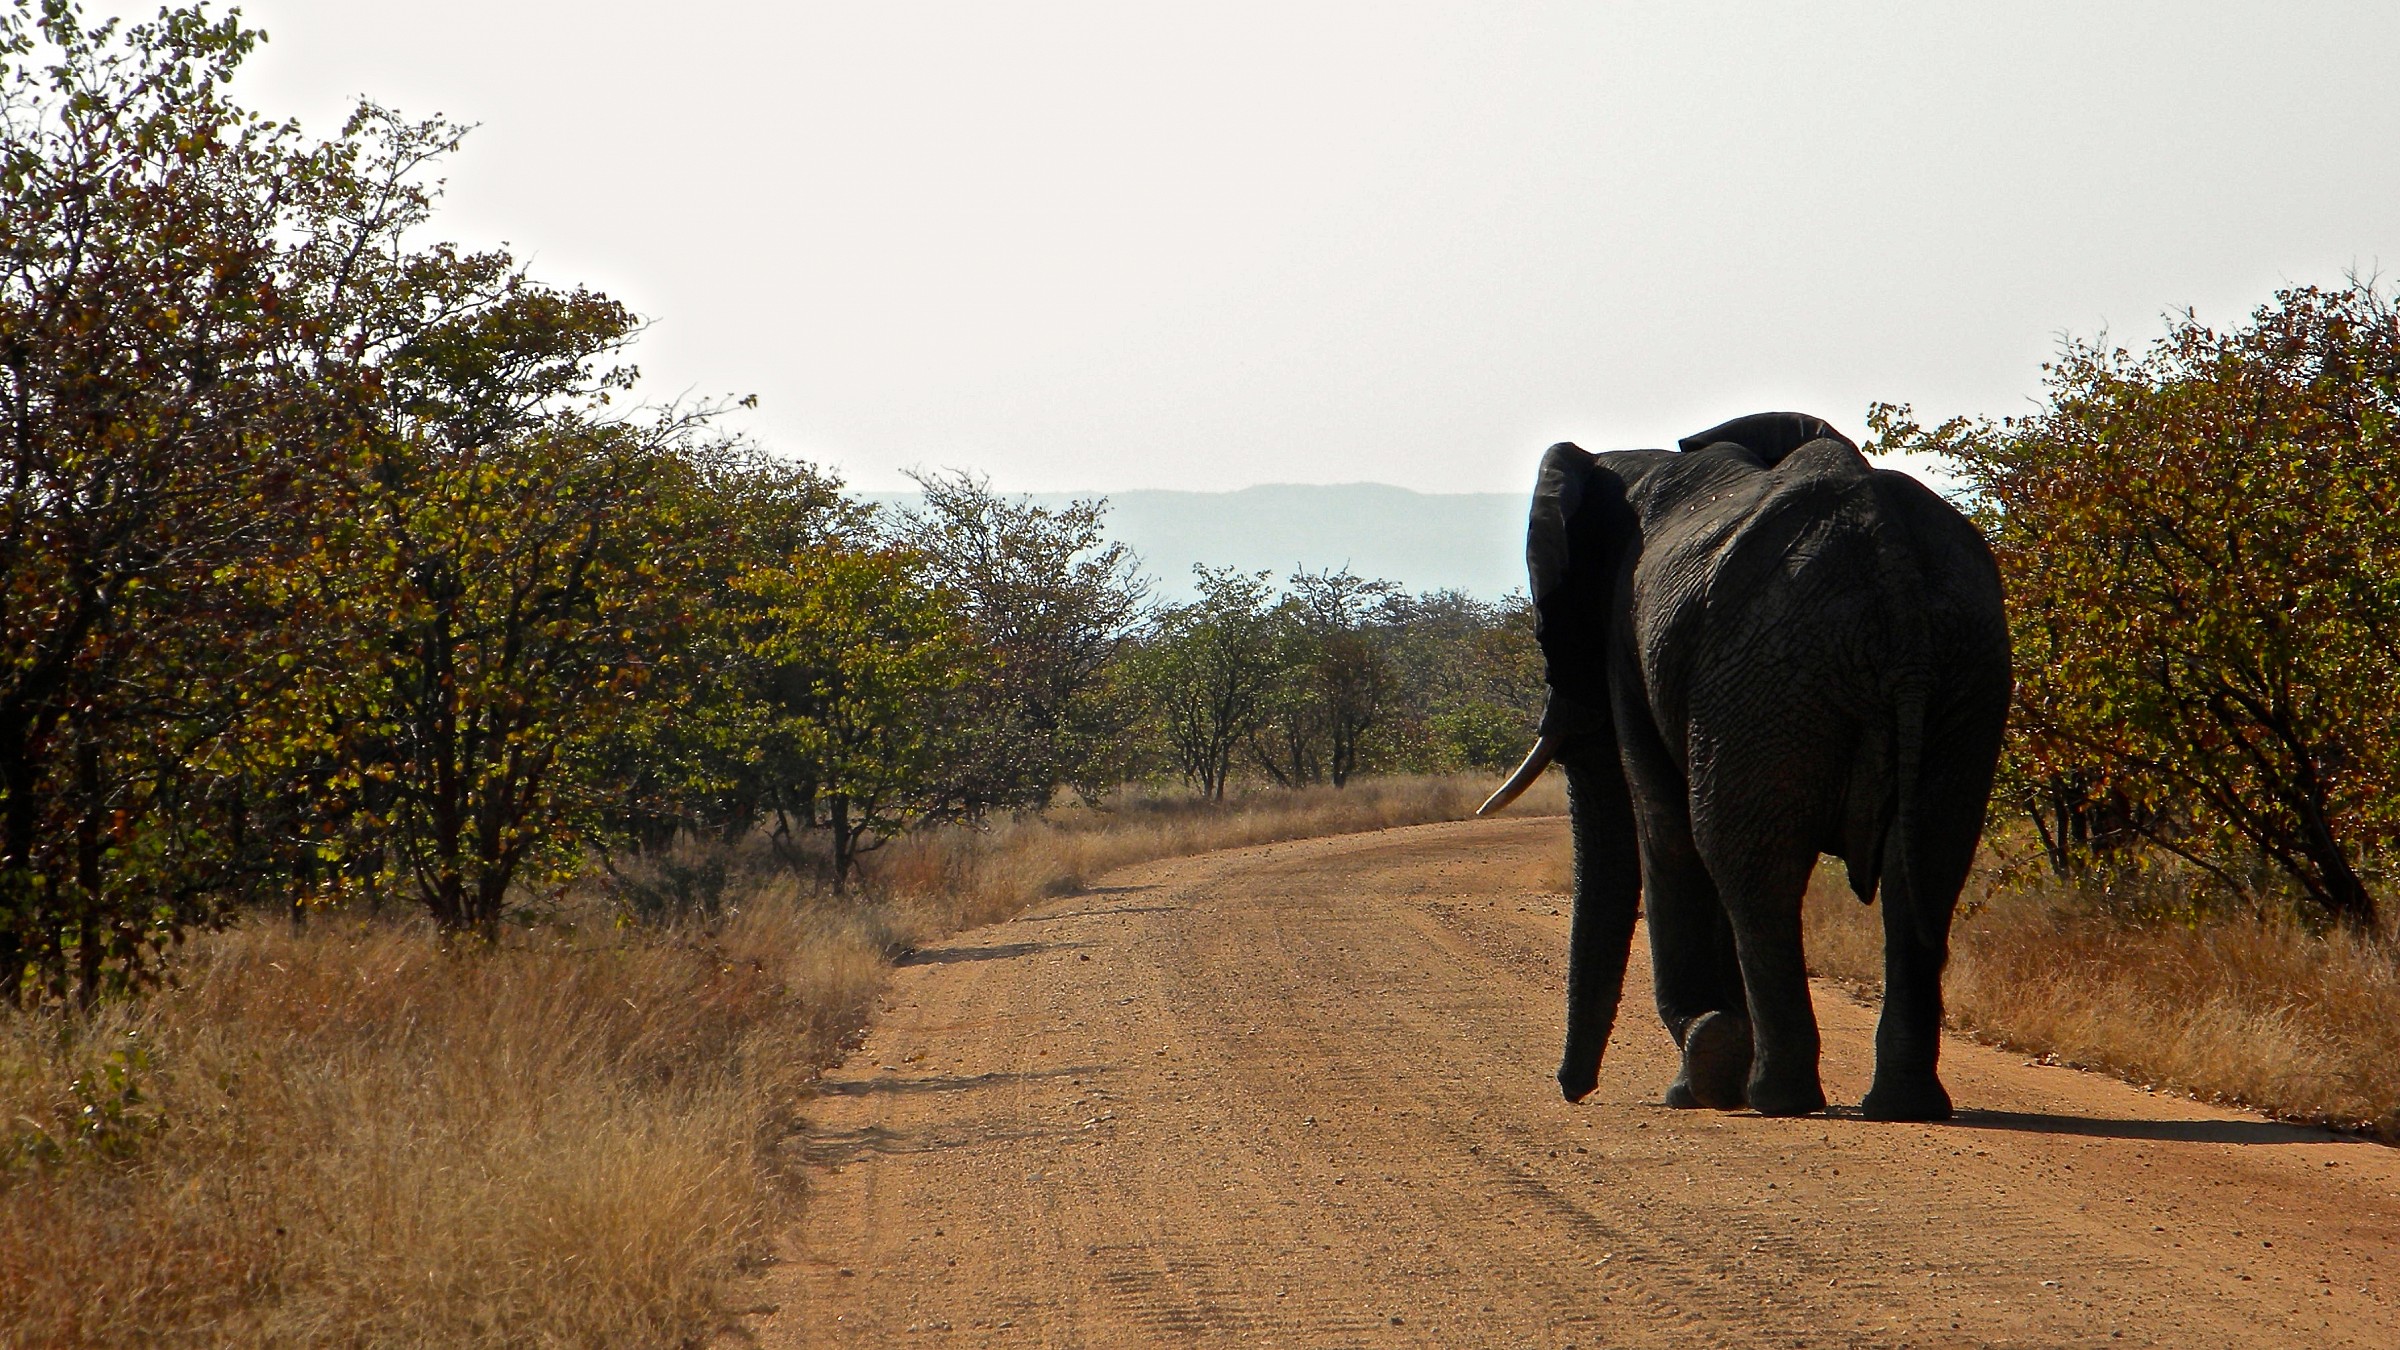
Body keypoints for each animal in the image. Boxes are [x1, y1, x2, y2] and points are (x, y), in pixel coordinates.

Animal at [1477, 411, 2010, 1120]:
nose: (1572, 1090)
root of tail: (1889, 552)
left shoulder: (1626, 636)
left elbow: (1664, 830)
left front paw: (1696, 1078)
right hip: (1964, 668)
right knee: (1925, 864)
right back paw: (1904, 1107)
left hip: (1768, 673)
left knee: (1749, 864)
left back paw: (1775, 1097)